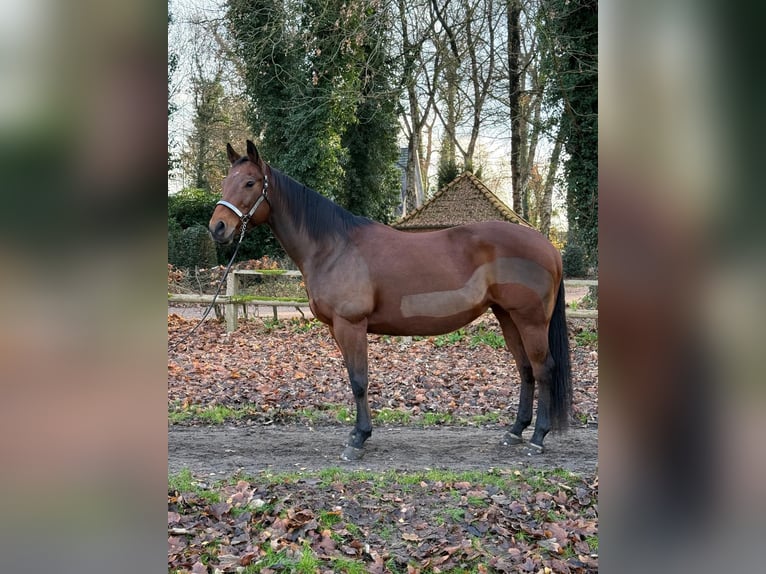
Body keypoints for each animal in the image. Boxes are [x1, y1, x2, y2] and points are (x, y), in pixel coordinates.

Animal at [209, 141, 572, 461]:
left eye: (250, 182)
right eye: (226, 181)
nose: (218, 227)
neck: (333, 246)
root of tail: (549, 246)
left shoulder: (351, 325)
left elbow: (359, 381)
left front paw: (358, 439)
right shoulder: (339, 329)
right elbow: (354, 379)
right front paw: (358, 435)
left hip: (530, 320)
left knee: (543, 369)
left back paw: (537, 439)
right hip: (507, 316)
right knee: (525, 369)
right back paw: (514, 432)